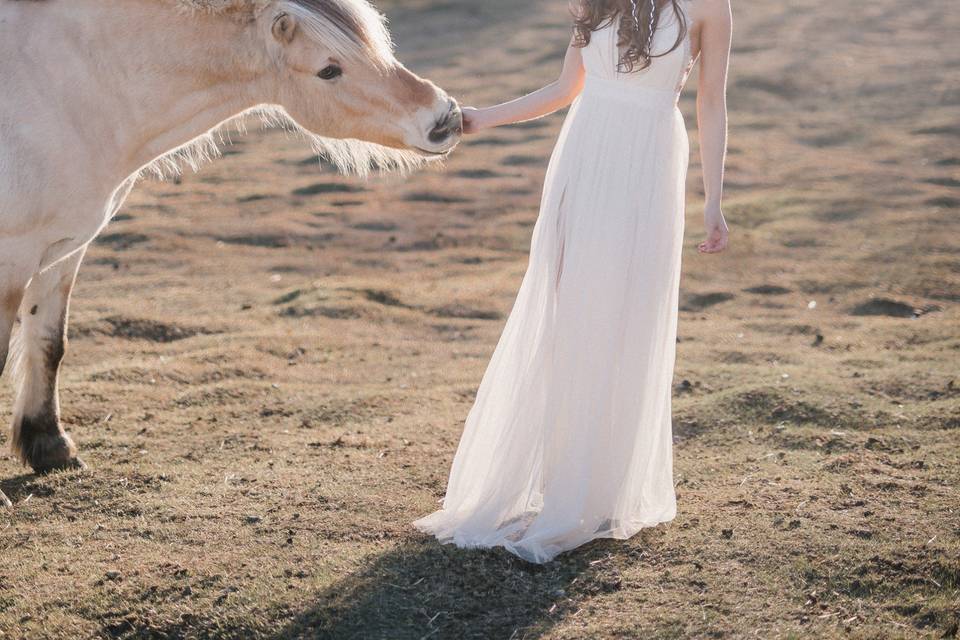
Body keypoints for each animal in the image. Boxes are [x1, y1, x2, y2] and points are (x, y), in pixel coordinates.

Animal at [0, 0, 464, 500]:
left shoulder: (64, 252)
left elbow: (50, 342)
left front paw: (50, 447)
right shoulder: (14, 258)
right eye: (329, 70)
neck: (67, 89)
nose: (445, 119)